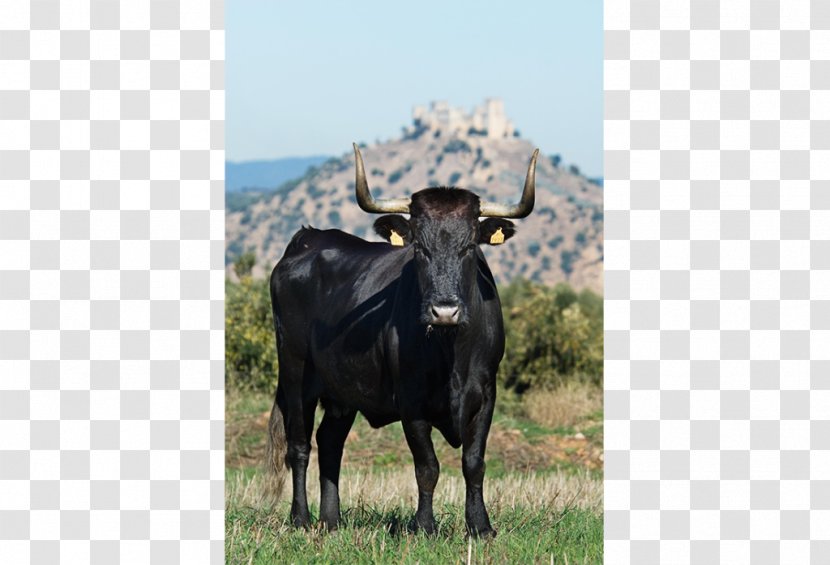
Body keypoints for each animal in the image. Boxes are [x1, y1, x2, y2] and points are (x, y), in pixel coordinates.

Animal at [264, 145, 540, 536]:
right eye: (419, 249)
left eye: (470, 247)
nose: (444, 311)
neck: (450, 353)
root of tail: (308, 238)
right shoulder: (411, 401)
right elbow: (427, 466)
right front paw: (424, 526)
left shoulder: (486, 393)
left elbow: (474, 462)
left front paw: (481, 527)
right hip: (295, 373)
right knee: (299, 446)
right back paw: (301, 519)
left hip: (342, 391)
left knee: (330, 442)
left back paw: (331, 521)